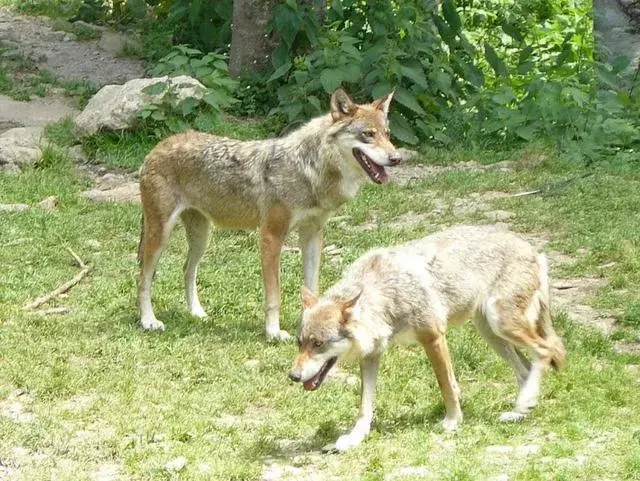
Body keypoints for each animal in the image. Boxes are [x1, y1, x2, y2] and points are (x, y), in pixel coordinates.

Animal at [138, 87, 400, 342]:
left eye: (387, 134)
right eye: (368, 134)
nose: (397, 158)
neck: (309, 171)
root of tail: (158, 147)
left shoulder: (313, 235)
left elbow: (312, 287)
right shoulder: (271, 236)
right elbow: (274, 295)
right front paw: (273, 333)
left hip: (202, 238)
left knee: (187, 270)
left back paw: (196, 313)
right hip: (160, 236)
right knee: (144, 277)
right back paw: (148, 321)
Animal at [290, 225, 564, 450]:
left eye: (318, 344)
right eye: (300, 343)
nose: (292, 376)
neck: (385, 295)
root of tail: (535, 251)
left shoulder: (433, 338)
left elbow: (446, 386)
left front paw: (452, 421)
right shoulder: (372, 356)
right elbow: (364, 407)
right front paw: (353, 439)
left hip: (502, 325)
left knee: (546, 349)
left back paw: (523, 403)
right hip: (491, 333)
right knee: (526, 369)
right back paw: (520, 410)